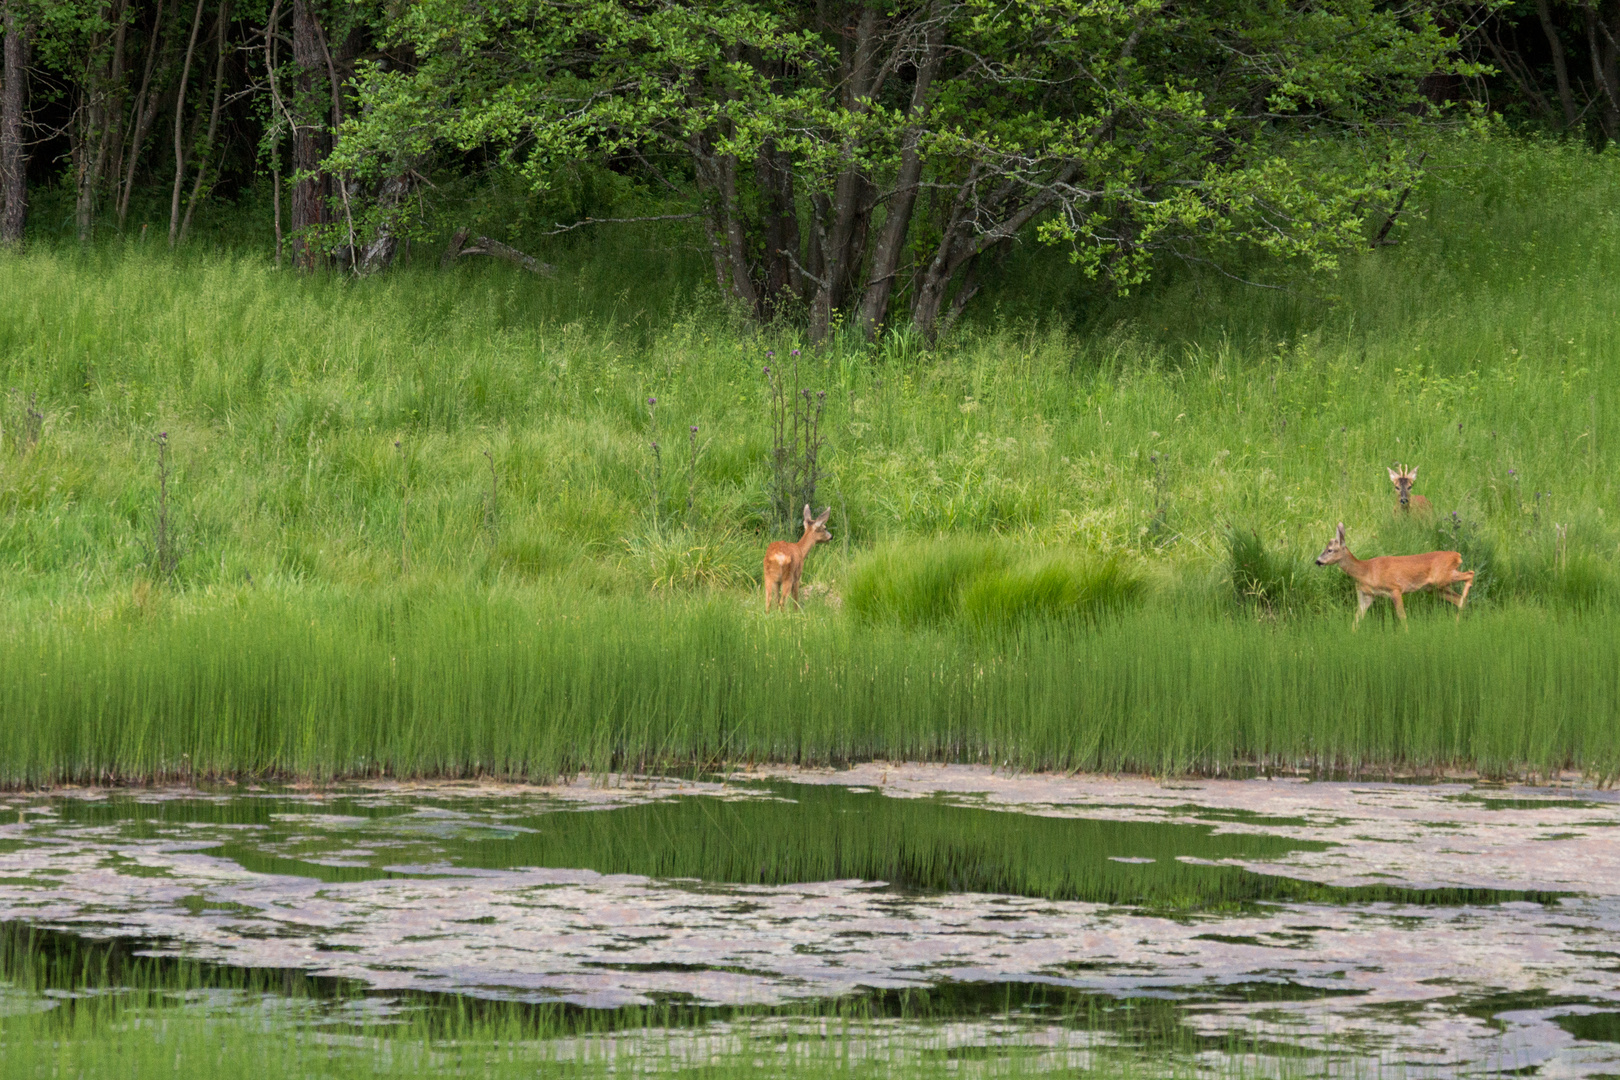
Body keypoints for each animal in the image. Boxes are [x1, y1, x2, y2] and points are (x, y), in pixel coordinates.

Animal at [1308, 521, 1477, 628]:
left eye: (1330, 550)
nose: (1317, 561)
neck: (1366, 571)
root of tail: (1457, 555)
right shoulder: (1366, 595)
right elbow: (1357, 619)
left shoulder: (1395, 588)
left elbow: (1402, 616)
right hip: (1436, 587)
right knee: (1459, 599)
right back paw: (1458, 623)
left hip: (1442, 577)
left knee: (1470, 573)